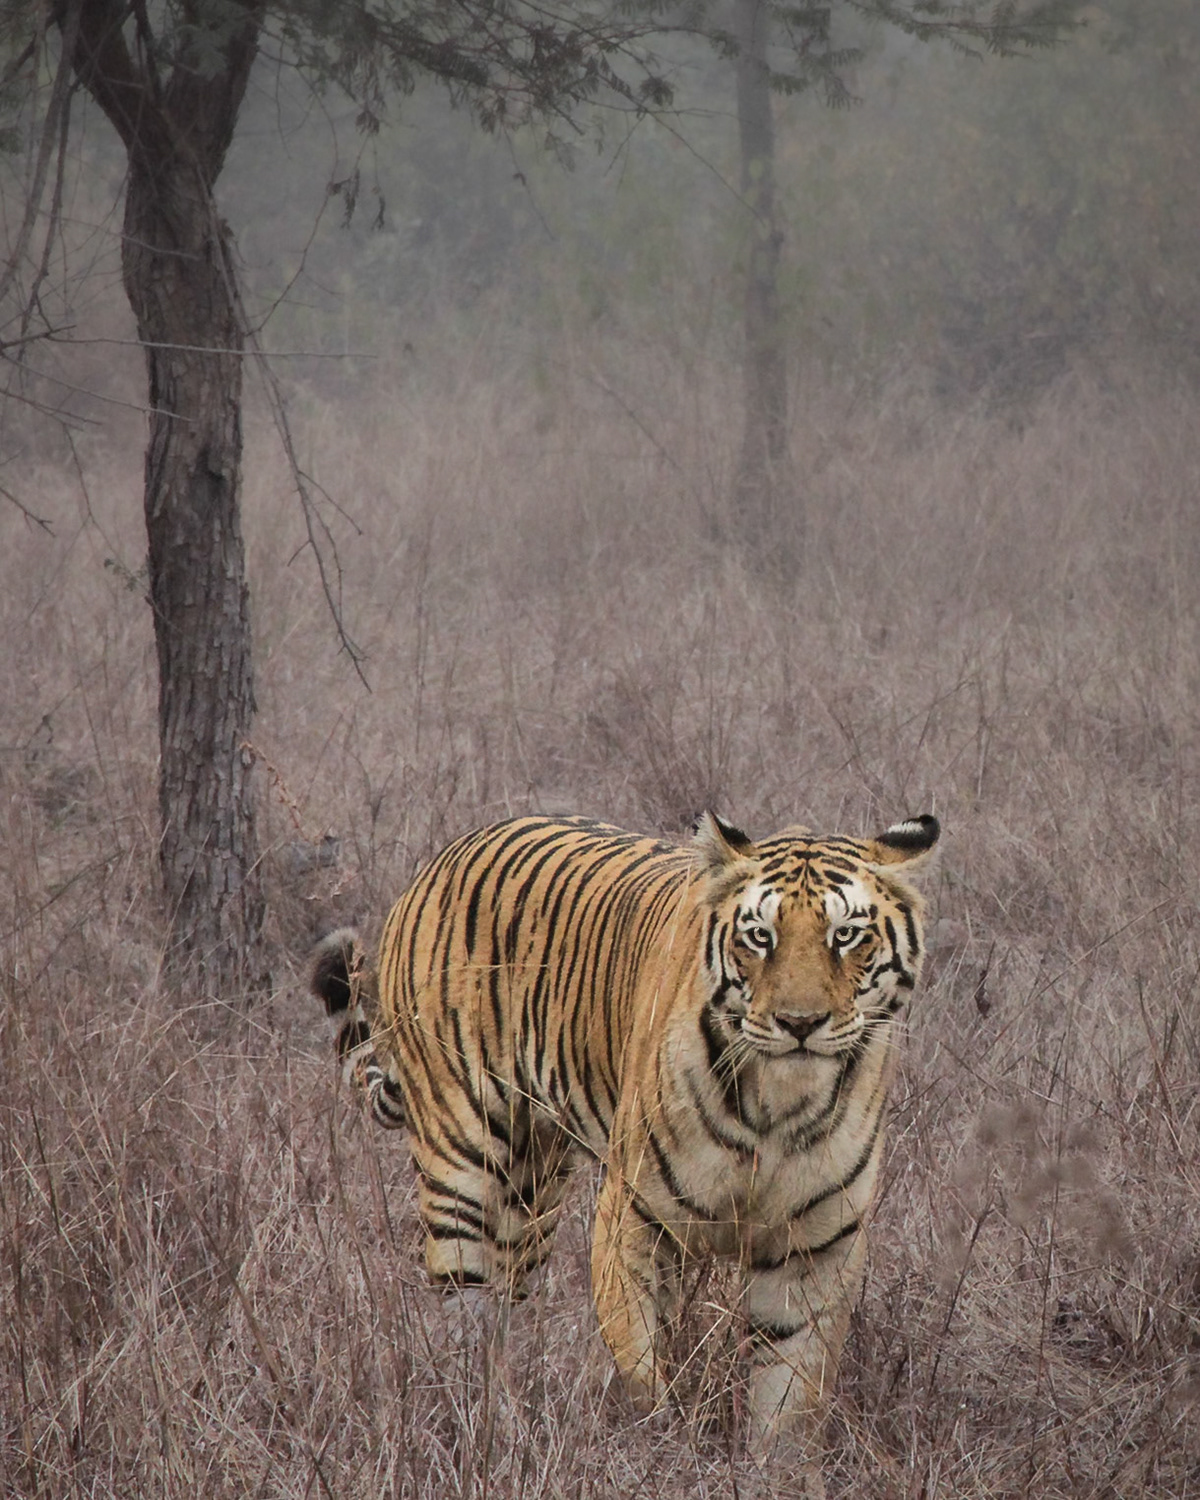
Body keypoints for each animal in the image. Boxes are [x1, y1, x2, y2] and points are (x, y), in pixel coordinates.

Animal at [309, 809, 939, 1459]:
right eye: (760, 936)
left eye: (846, 935)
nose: (800, 1023)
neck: (780, 1104)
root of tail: (446, 854)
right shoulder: (634, 1219)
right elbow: (641, 1362)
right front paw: (658, 1449)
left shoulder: (814, 1249)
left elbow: (790, 1399)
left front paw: (770, 1466)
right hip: (461, 1166)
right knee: (466, 1316)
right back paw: (480, 1420)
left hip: (531, 1194)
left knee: (508, 1305)